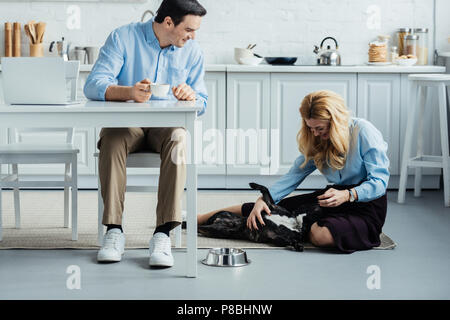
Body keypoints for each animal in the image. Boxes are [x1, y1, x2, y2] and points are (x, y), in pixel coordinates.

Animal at [195, 184, 326, 251]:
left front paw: (298, 246)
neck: (296, 224)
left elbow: (289, 241)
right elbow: (265, 190)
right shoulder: (270, 206)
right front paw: (253, 185)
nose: (319, 204)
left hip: (217, 230)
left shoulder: (278, 238)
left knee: (200, 227)